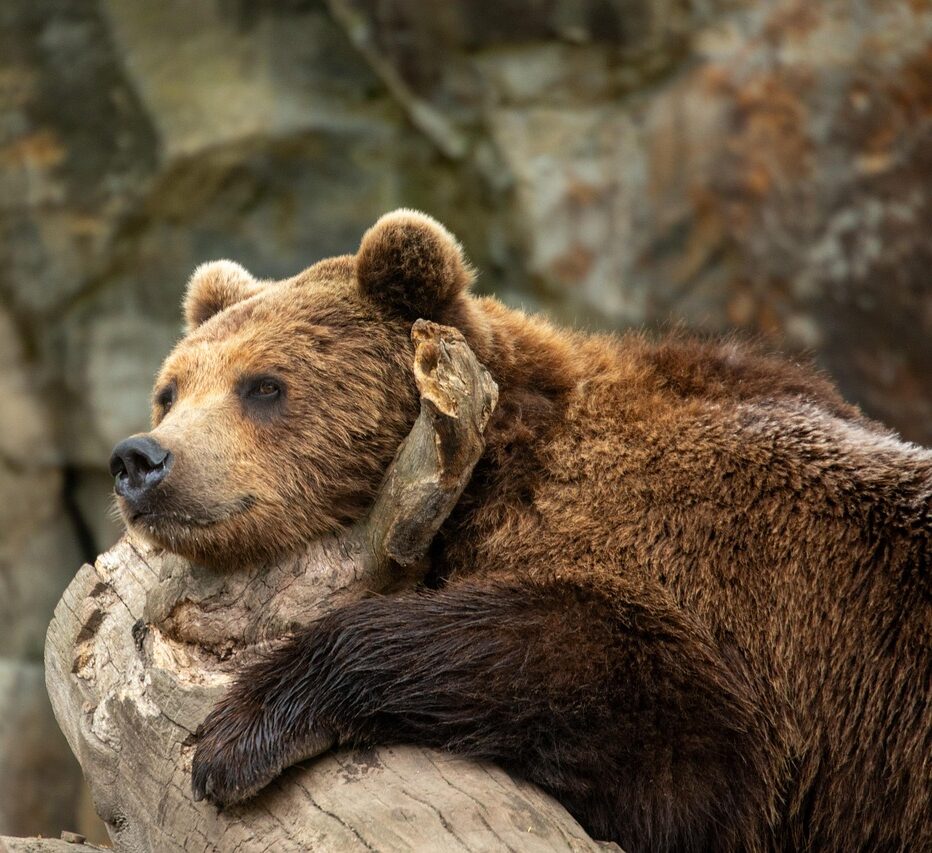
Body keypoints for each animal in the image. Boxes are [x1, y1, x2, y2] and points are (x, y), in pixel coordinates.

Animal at [108, 210, 931, 853]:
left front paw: (237, 736)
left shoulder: (730, 586)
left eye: (264, 385)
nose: (141, 460)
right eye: (170, 390)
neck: (484, 472)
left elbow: (663, 724)